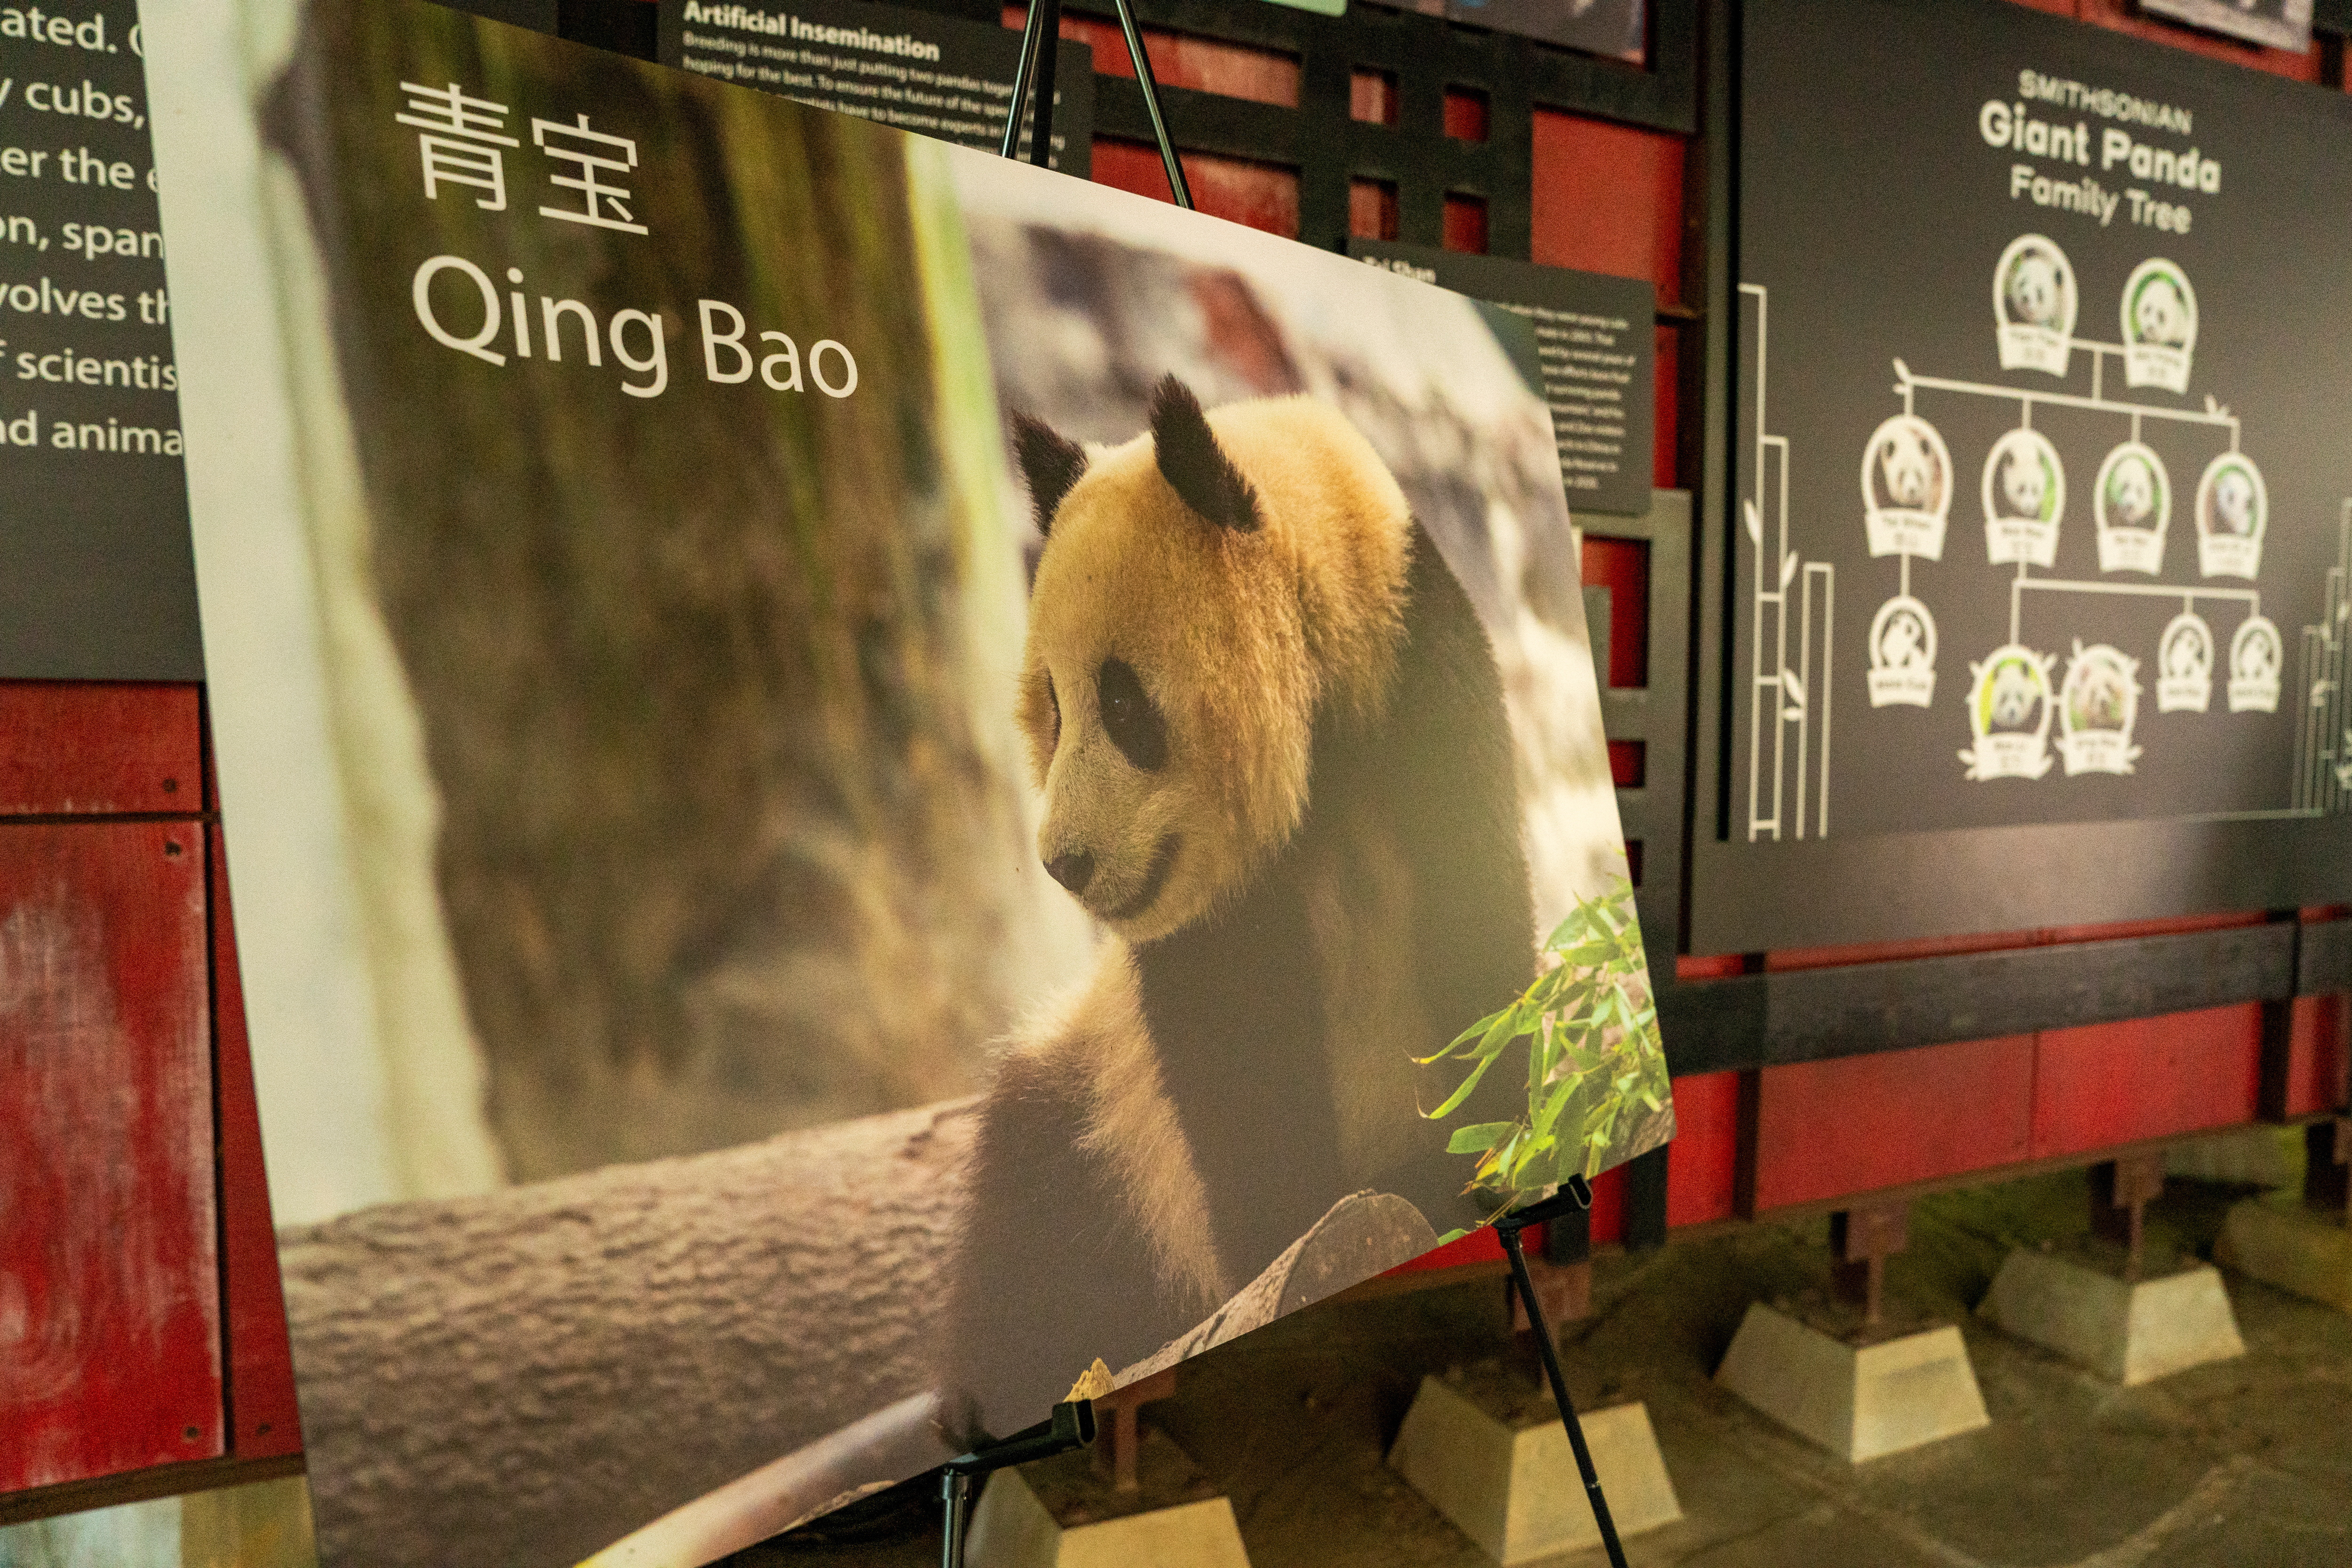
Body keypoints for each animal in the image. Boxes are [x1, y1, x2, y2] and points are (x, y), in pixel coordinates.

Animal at [936, 375, 1535, 1442]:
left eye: (1122, 705)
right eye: (1052, 705)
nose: (1066, 862)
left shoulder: (1424, 695)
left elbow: (1477, 946)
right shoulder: (1203, 930)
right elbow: (1237, 1076)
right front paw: (1289, 1233)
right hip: (1094, 1133)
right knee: (1028, 1248)